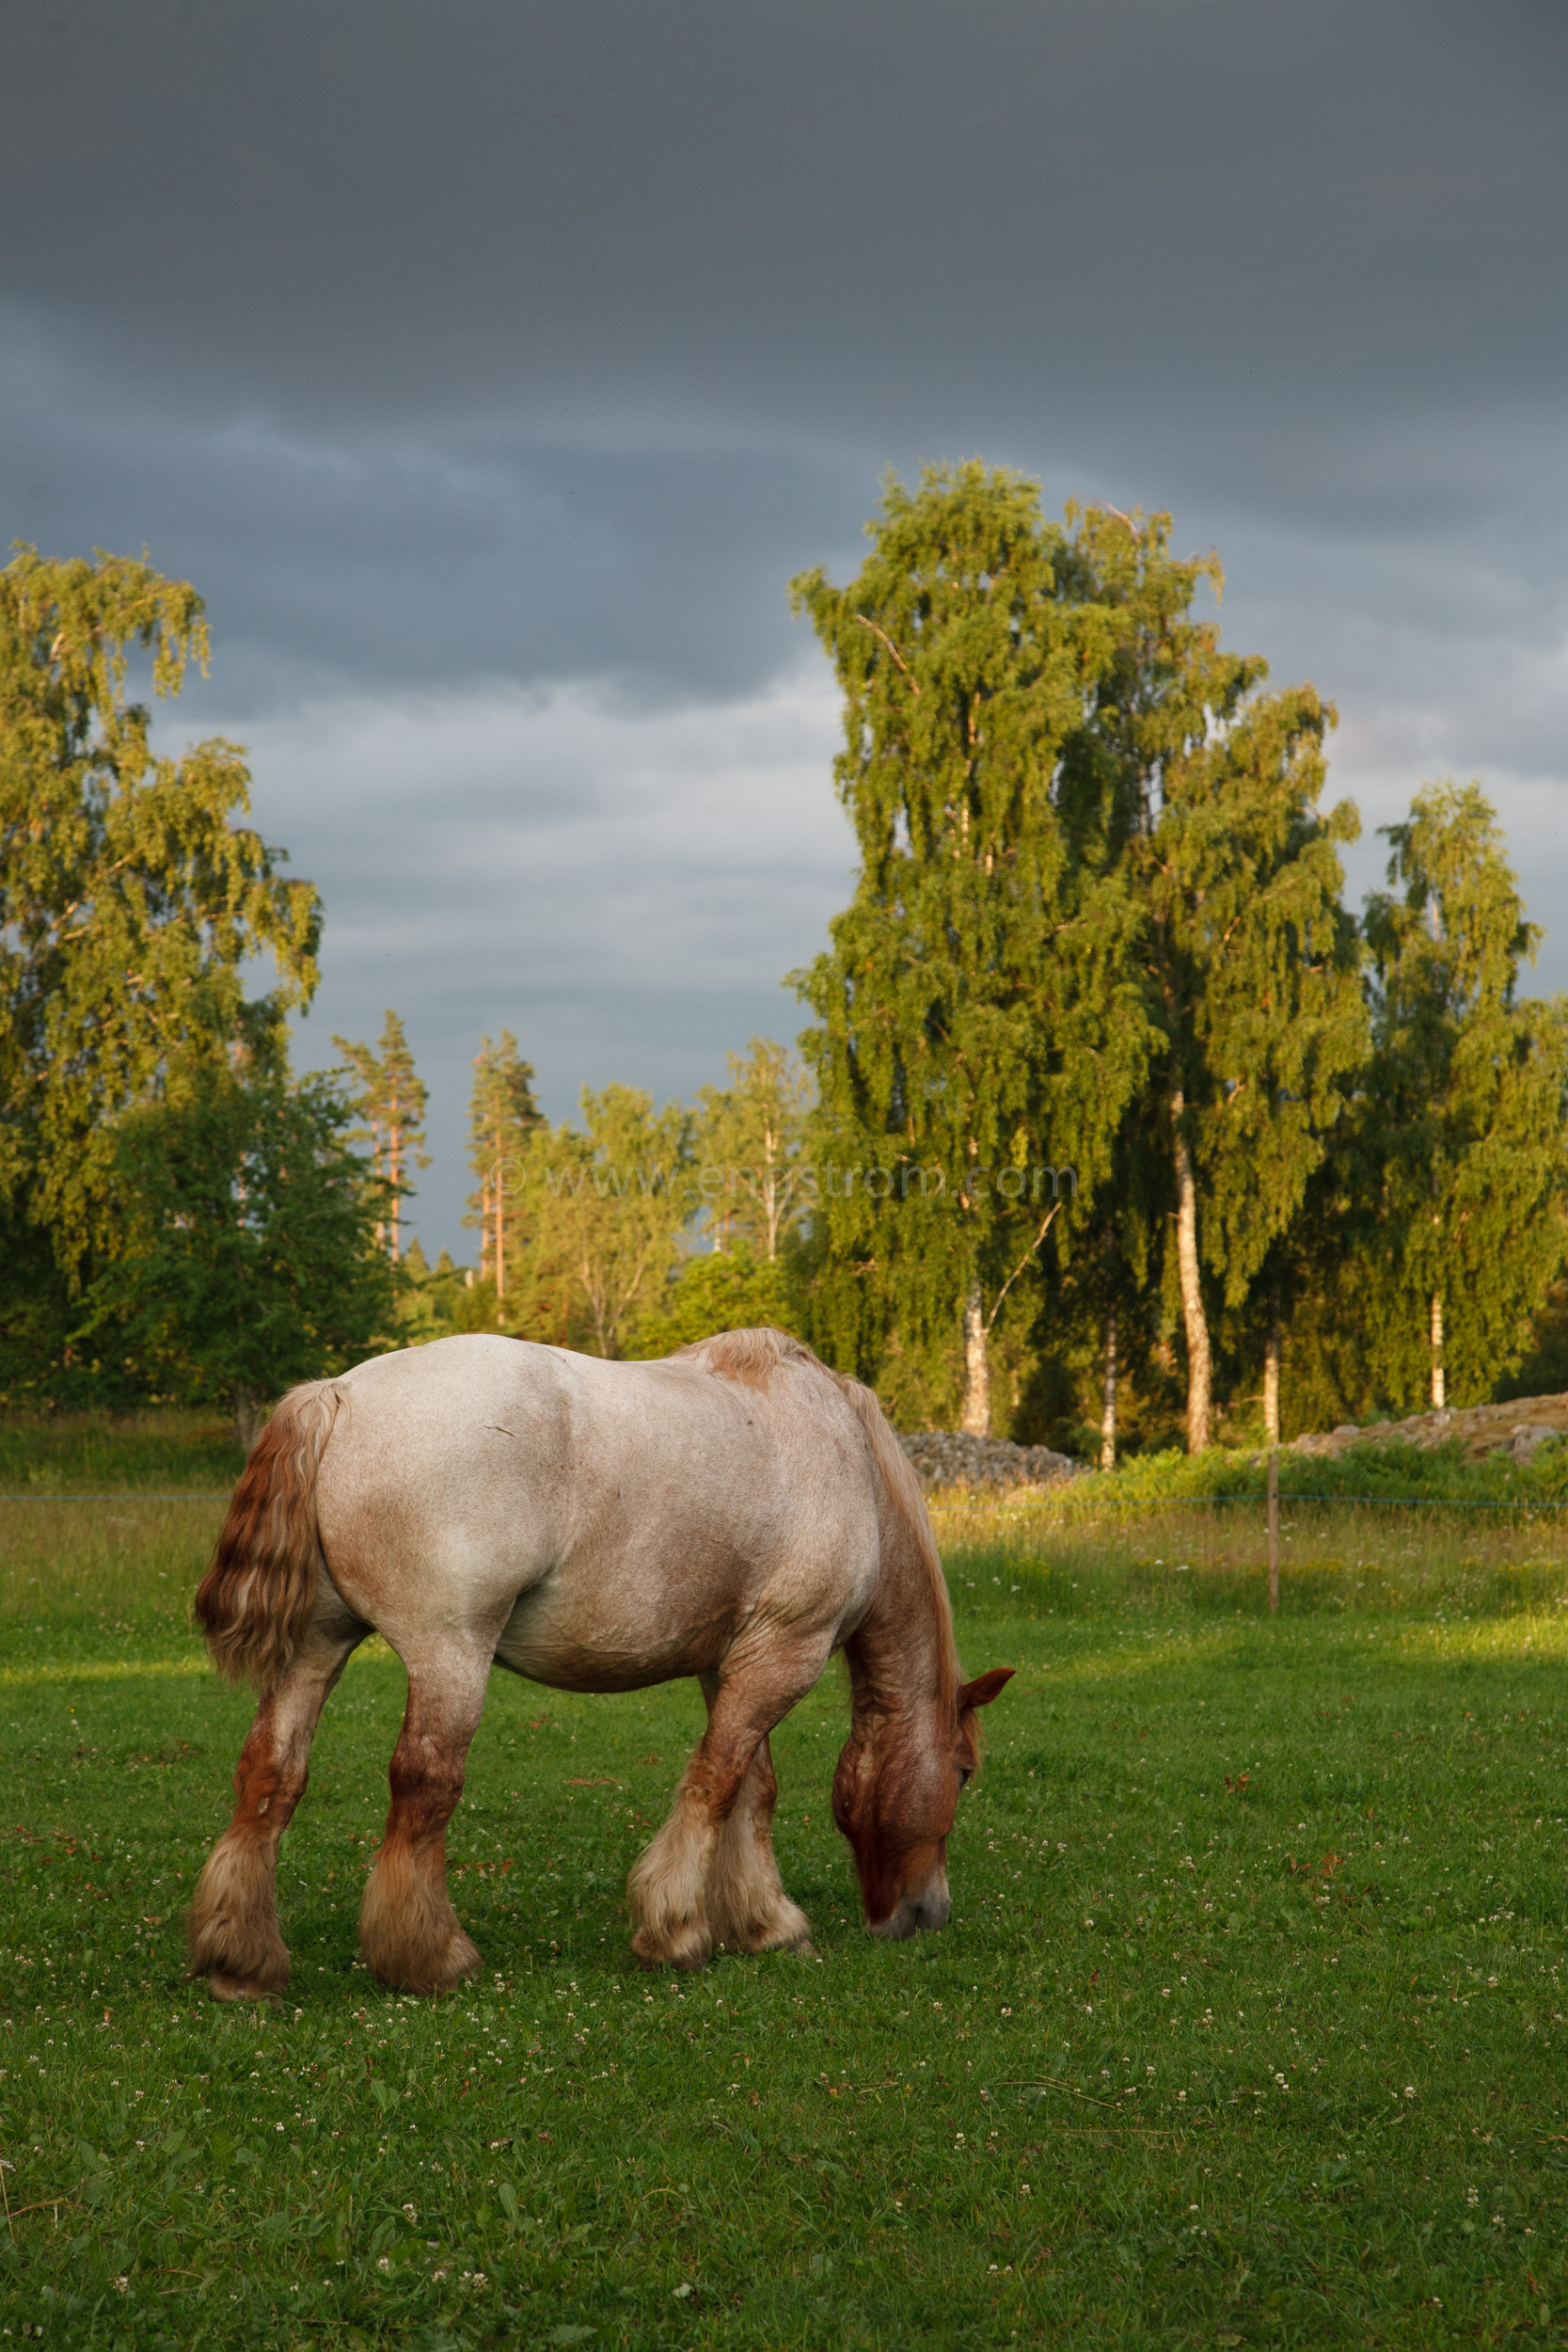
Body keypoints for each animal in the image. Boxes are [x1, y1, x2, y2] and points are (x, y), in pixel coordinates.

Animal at [186, 1336, 1020, 1994]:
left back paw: (241, 1960)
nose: (925, 1915)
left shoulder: (735, 1661)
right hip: (449, 1650)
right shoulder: (788, 1651)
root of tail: (339, 1394)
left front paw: (761, 1922)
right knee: (423, 1782)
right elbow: (717, 1782)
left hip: (314, 1649)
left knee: (270, 1774)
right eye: (964, 1772)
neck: (846, 1456)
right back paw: (431, 1958)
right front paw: (677, 1931)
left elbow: (754, 1789)